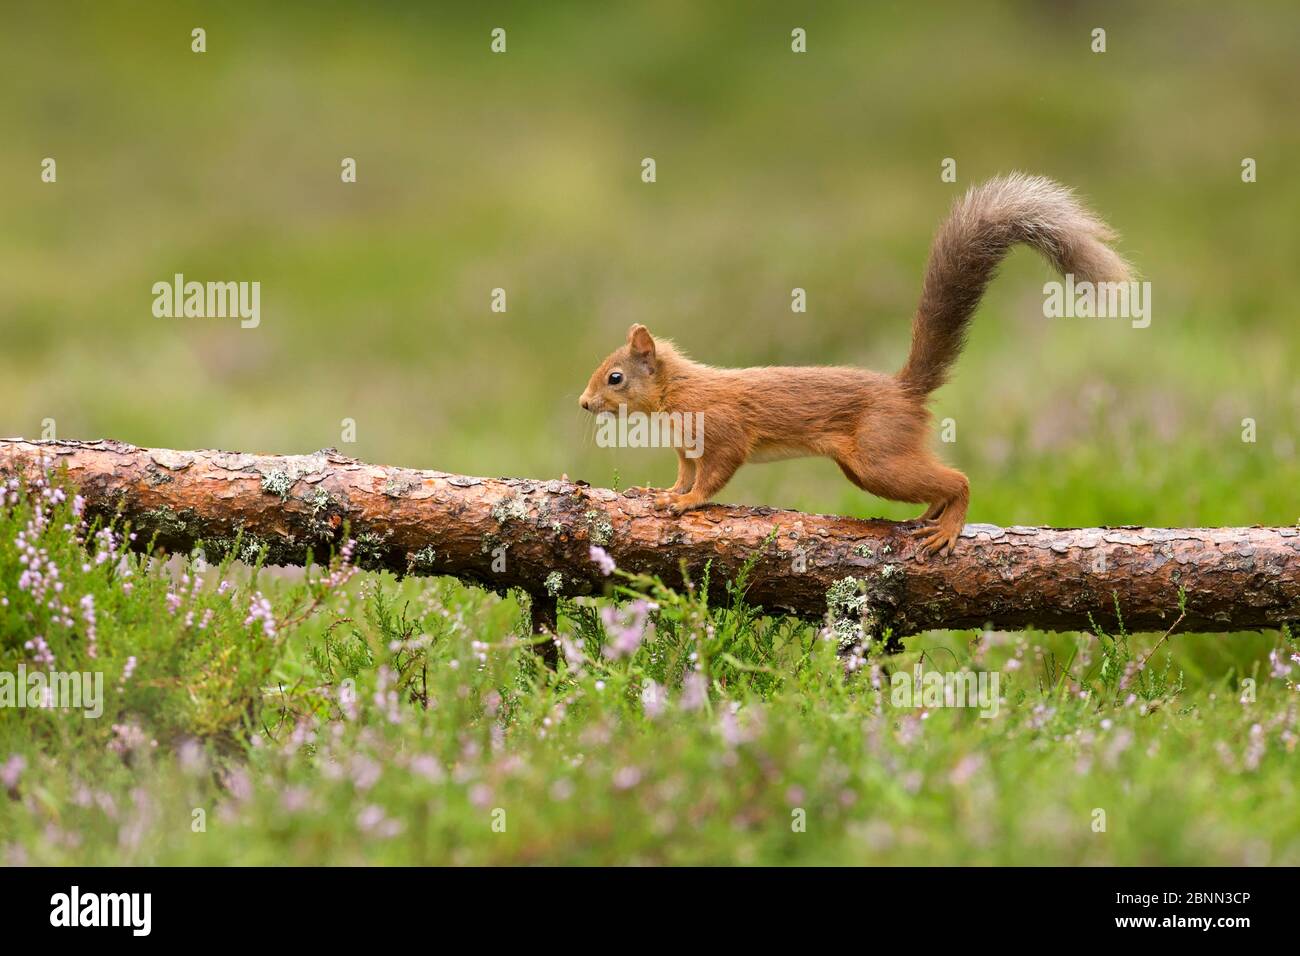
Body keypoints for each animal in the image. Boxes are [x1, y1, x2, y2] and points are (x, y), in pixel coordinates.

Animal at [579, 175, 1128, 556]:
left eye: (615, 377)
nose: (584, 404)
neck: (677, 395)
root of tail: (904, 390)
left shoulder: (723, 429)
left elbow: (714, 475)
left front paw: (688, 503)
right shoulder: (687, 447)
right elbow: (685, 473)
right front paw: (666, 492)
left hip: (878, 458)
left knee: (959, 479)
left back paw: (949, 526)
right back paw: (931, 516)